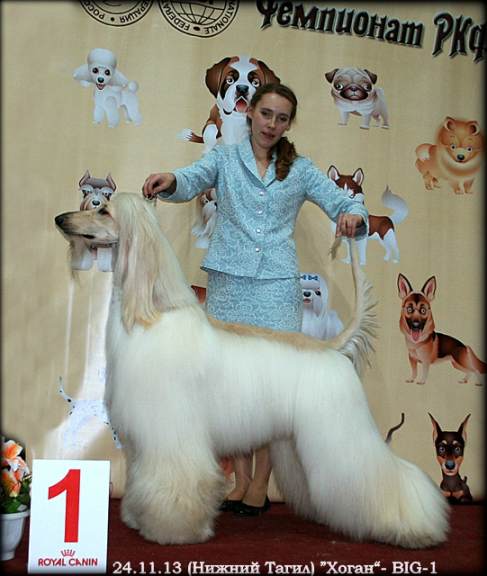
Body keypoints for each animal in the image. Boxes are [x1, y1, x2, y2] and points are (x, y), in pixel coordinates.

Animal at [55, 193, 448, 548]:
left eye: (103, 210)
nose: (60, 219)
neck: (150, 313)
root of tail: (329, 347)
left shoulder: (171, 431)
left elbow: (178, 481)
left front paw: (172, 530)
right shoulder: (144, 439)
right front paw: (138, 518)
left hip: (340, 427)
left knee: (382, 473)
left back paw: (414, 526)